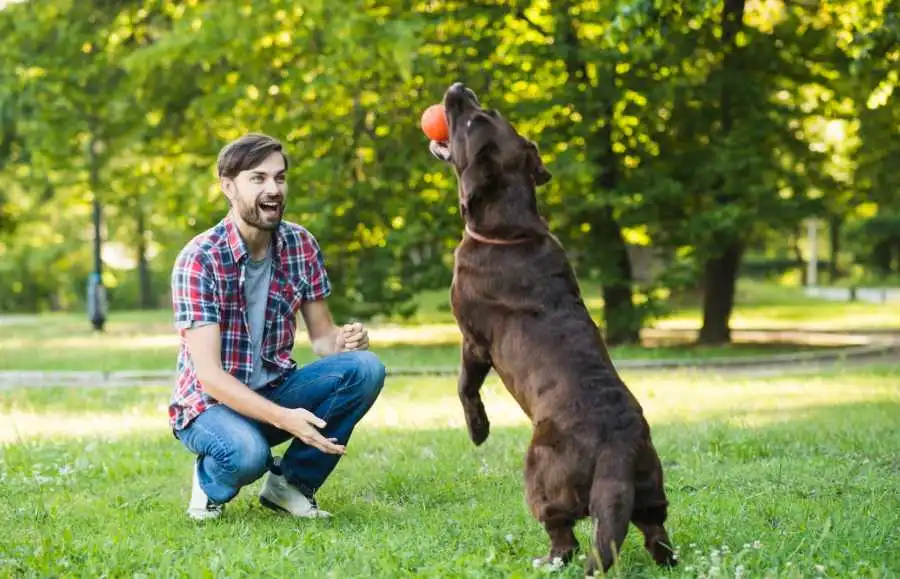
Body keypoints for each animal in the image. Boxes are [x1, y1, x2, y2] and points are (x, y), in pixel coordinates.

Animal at [432, 82, 680, 579]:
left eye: (471, 120)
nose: (459, 88)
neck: (510, 229)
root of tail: (618, 446)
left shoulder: (474, 341)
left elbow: (465, 387)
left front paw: (478, 431)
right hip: (650, 485)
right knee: (654, 531)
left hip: (541, 473)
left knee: (563, 534)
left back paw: (546, 560)